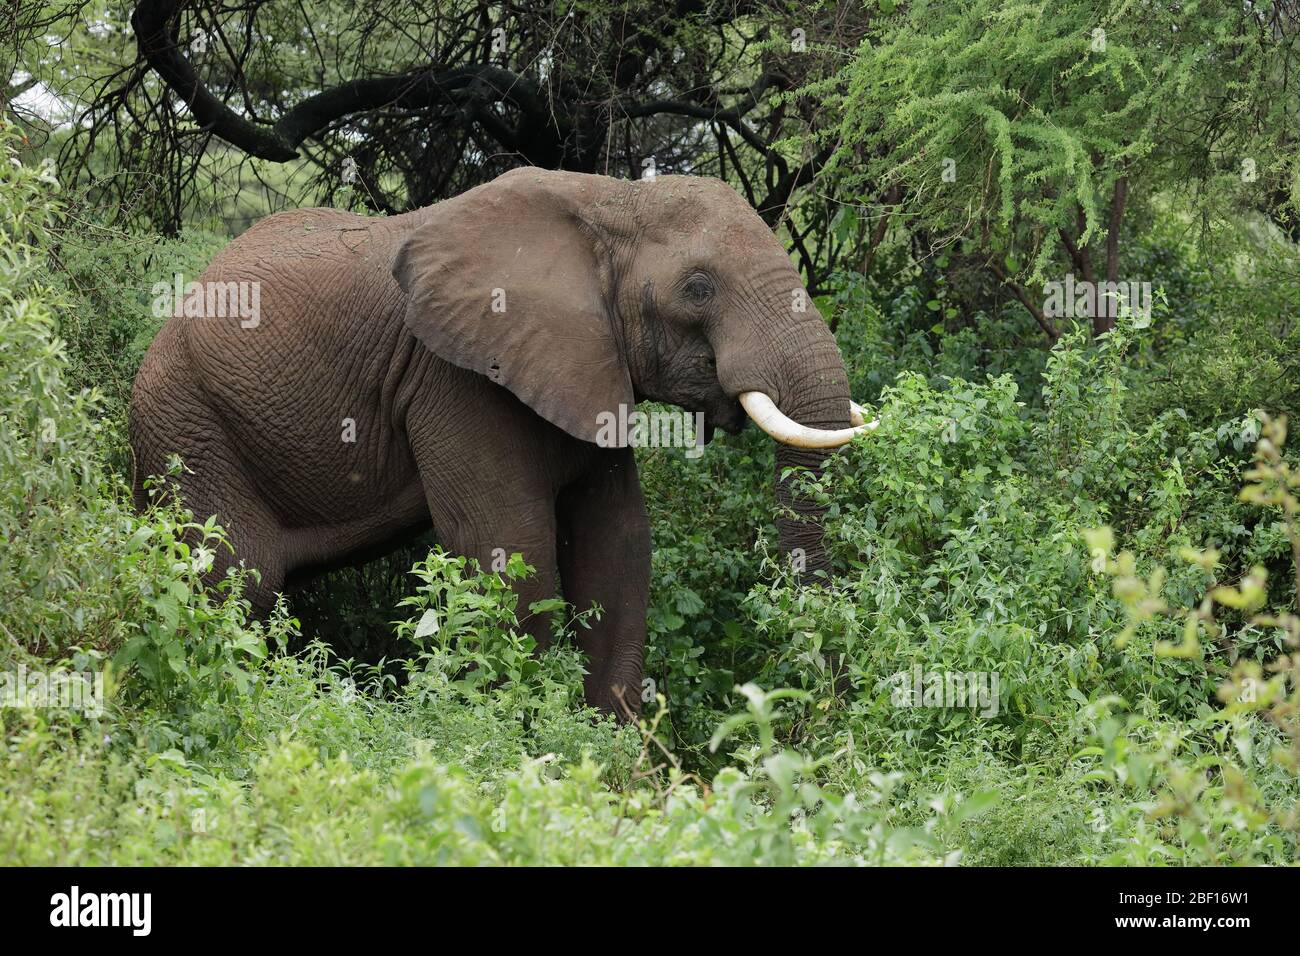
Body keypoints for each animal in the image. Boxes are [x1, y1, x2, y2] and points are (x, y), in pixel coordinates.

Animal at [129, 167, 873, 712]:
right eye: (697, 288)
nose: (826, 708)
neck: (610, 199)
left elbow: (618, 544)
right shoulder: (453, 377)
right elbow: (510, 546)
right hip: (186, 423)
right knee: (236, 583)